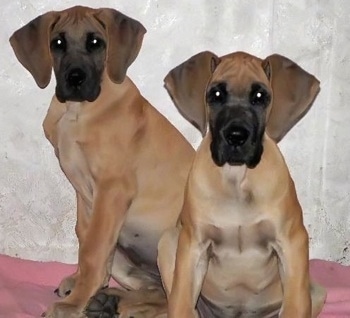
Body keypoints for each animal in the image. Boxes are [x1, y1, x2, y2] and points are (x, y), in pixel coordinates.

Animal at [8, 5, 194, 318]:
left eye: (96, 42)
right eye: (58, 43)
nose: (75, 79)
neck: (76, 111)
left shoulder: (112, 190)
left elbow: (93, 251)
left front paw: (73, 303)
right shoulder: (86, 196)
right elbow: (86, 240)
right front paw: (81, 286)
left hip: (174, 244)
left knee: (182, 304)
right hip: (126, 254)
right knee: (156, 292)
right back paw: (109, 301)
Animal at [157, 51, 326, 316]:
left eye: (260, 97)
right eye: (216, 95)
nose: (236, 137)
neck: (237, 180)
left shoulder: (292, 242)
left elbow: (295, 305)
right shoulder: (193, 245)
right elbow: (180, 303)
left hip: (317, 290)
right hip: (167, 241)